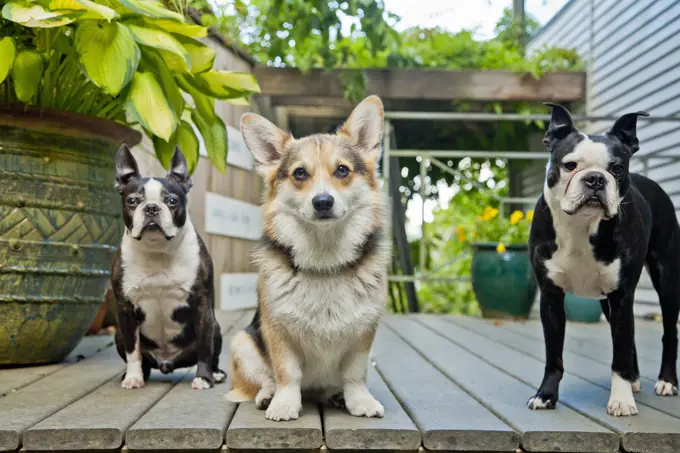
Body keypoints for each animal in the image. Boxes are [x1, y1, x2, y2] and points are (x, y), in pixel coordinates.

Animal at [111, 145, 226, 388]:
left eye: (172, 201)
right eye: (133, 201)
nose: (152, 208)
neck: (157, 251)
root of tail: (167, 363)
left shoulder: (202, 305)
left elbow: (205, 347)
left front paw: (203, 378)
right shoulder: (125, 308)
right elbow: (133, 351)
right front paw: (133, 377)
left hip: (216, 327)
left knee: (211, 351)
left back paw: (216, 373)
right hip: (118, 333)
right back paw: (137, 374)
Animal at [226, 94, 390, 420]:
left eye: (342, 170)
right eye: (299, 173)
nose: (322, 202)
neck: (325, 259)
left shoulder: (363, 334)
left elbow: (355, 375)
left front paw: (360, 402)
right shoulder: (278, 332)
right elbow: (287, 373)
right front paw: (284, 404)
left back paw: (336, 395)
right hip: (242, 342)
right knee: (261, 380)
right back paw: (268, 395)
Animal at [524, 104, 680, 414]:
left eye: (617, 168)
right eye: (569, 165)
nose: (595, 178)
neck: (582, 226)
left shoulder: (622, 294)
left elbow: (618, 354)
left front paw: (621, 401)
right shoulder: (551, 297)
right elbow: (554, 356)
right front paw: (546, 395)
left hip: (667, 280)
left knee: (669, 332)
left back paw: (666, 382)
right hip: (609, 302)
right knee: (628, 336)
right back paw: (634, 379)